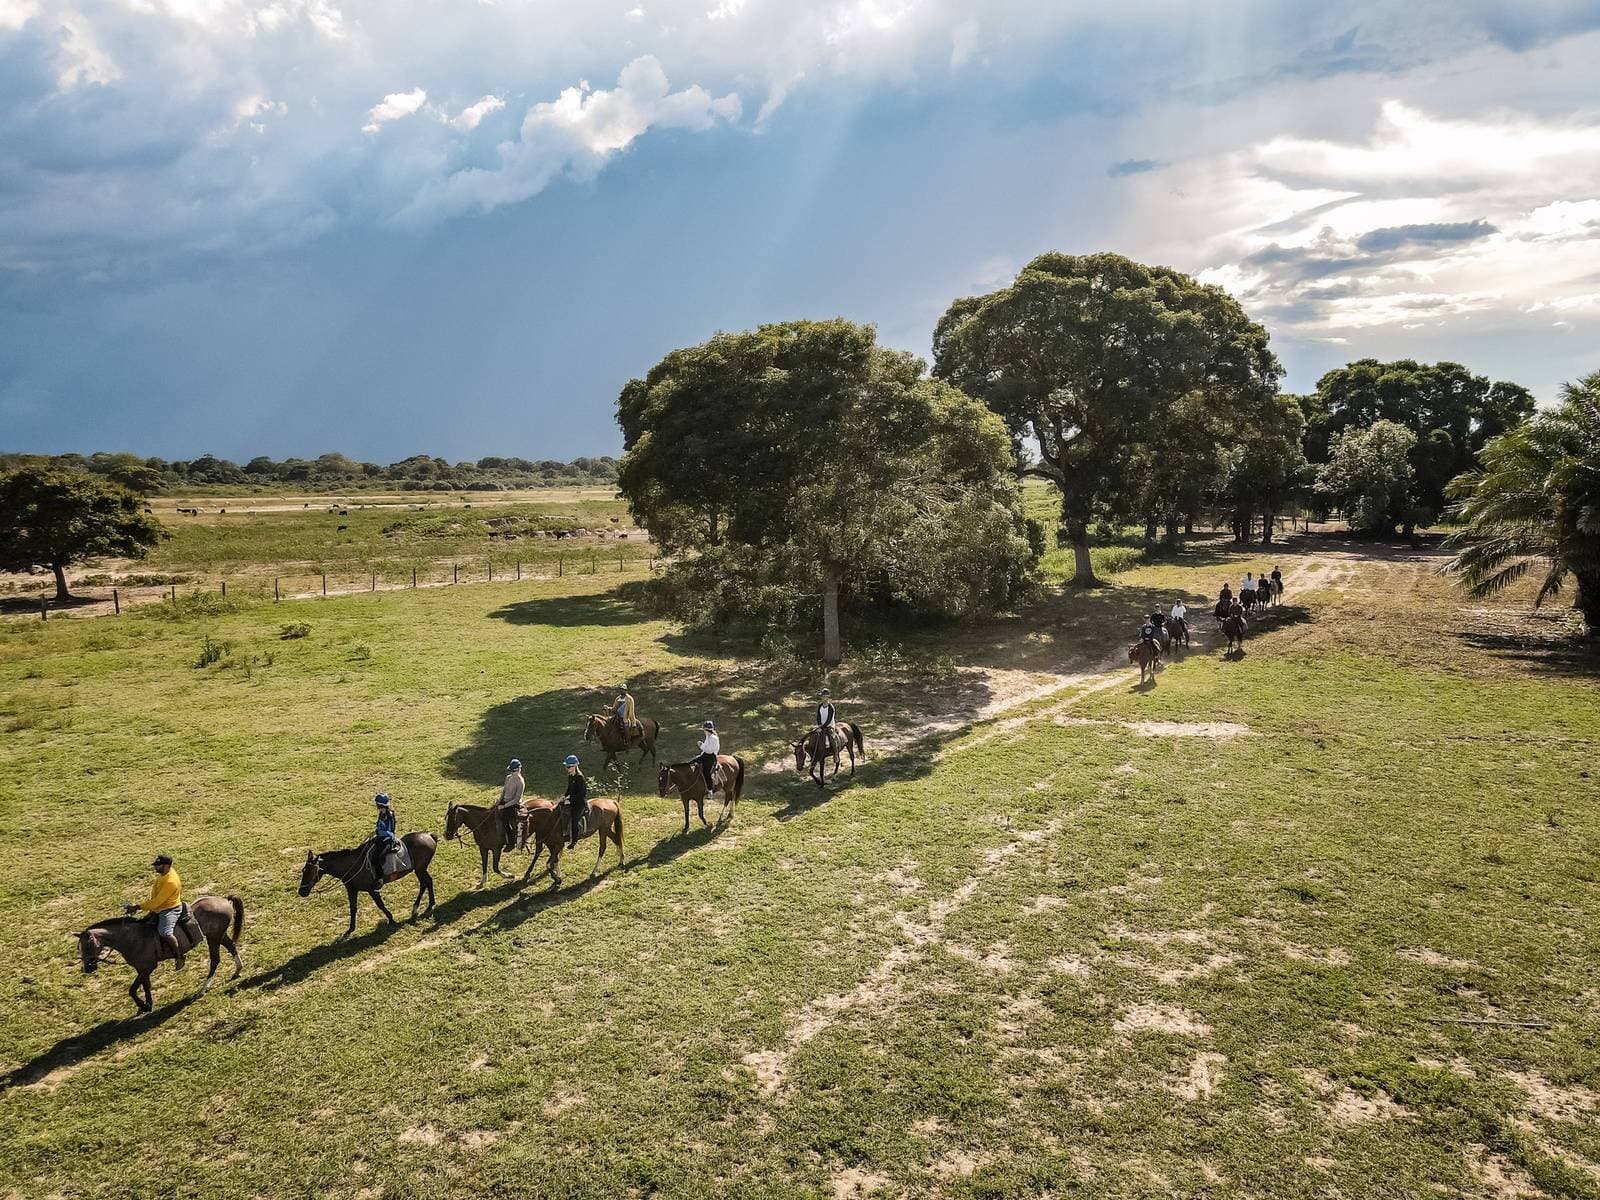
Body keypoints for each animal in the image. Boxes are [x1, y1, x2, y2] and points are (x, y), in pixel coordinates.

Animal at [76, 896, 245, 1013]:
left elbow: (132, 989)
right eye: (80, 948)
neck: (133, 937)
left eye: (88, 946)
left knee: (215, 960)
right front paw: (148, 1005)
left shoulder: (148, 967)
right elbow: (145, 986)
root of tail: (223, 899)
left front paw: (143, 1005)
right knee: (232, 947)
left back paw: (201, 990)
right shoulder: (141, 969)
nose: (87, 968)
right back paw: (237, 971)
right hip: (218, 935)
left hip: (214, 938)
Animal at [297, 833, 437, 935]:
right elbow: (353, 908)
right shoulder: (352, 890)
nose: (301, 891)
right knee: (426, 883)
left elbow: (380, 905)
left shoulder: (372, 890)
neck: (352, 865)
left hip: (420, 869)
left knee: (426, 883)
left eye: (311, 871)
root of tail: (429, 835)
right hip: (420, 869)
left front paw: (391, 919)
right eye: (304, 870)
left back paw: (424, 906)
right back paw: (423, 906)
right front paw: (350, 929)